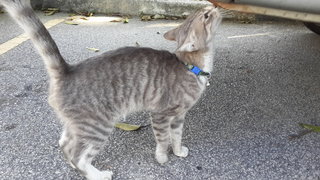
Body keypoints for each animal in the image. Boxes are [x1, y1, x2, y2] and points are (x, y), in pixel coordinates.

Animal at [0, 0, 220, 179]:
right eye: (206, 16)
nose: (215, 7)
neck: (191, 66)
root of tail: (68, 71)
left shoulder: (179, 116)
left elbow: (176, 136)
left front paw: (178, 150)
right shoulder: (161, 114)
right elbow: (163, 138)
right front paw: (162, 157)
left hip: (78, 125)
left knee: (65, 144)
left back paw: (74, 166)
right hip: (99, 126)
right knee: (79, 156)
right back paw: (96, 175)